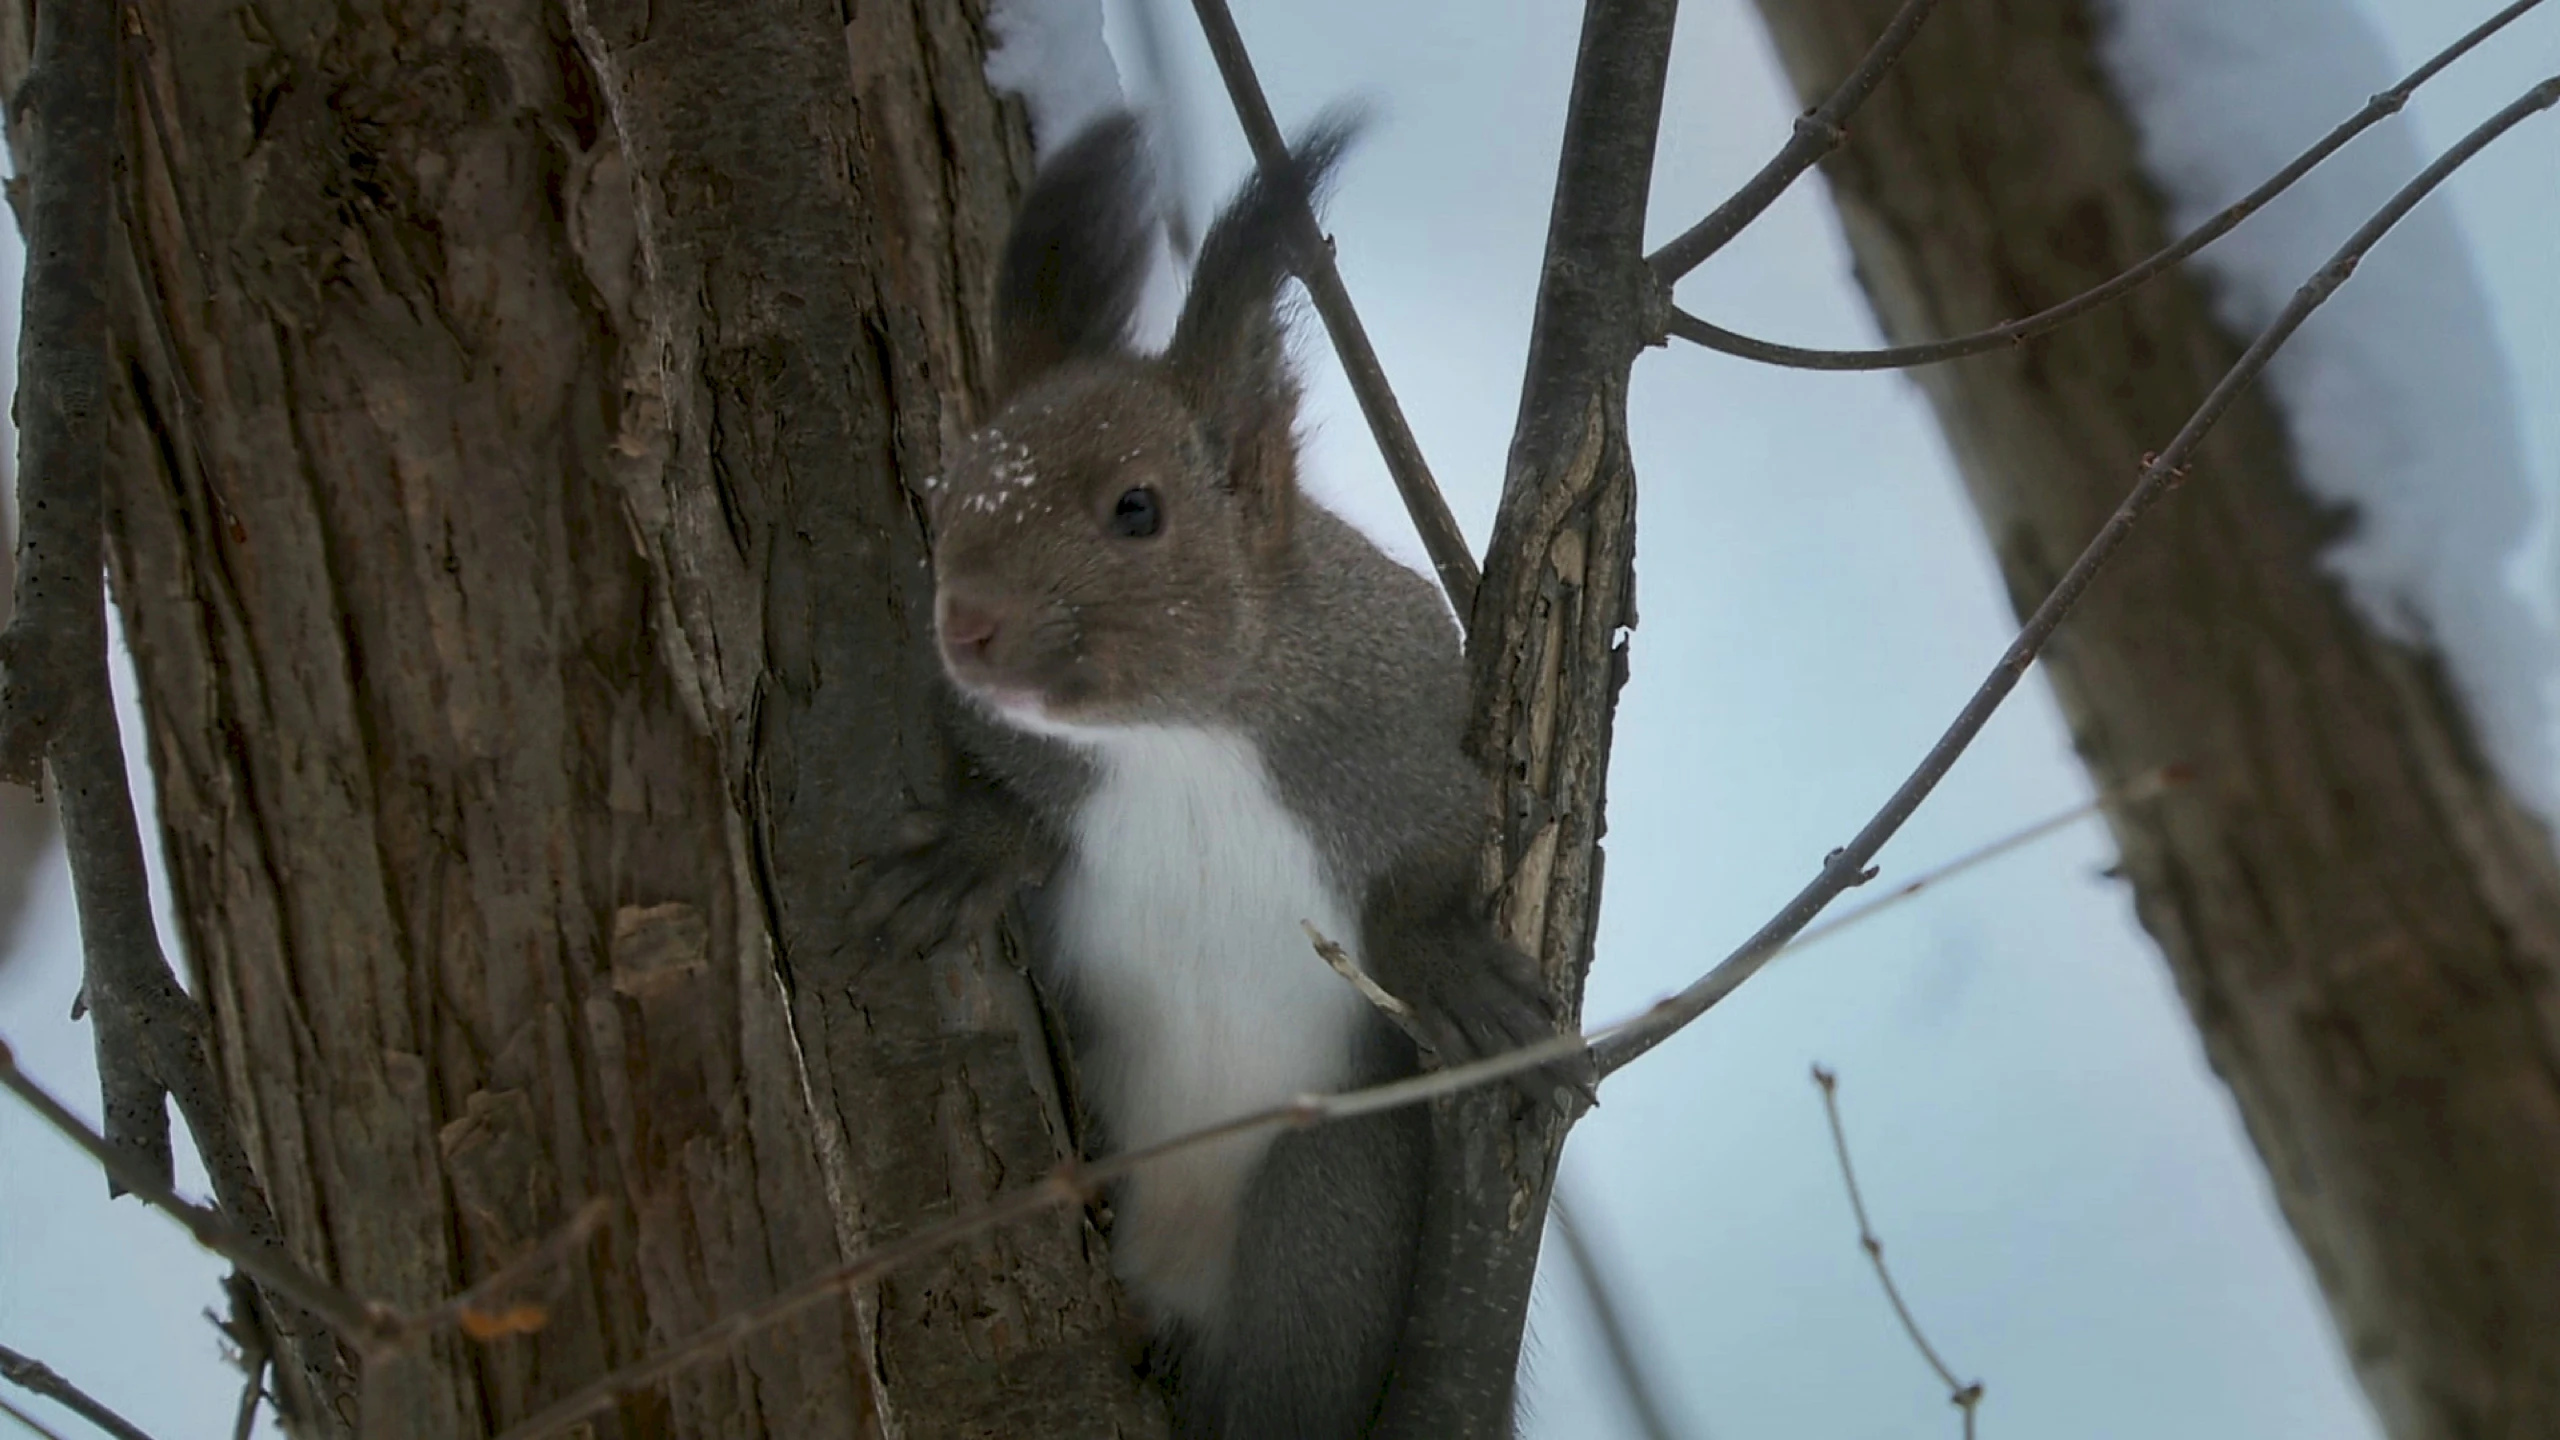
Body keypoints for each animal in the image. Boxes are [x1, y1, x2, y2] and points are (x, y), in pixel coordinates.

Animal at [849, 114, 1546, 1434]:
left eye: (1137, 510)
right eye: (946, 490)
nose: (964, 624)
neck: (1176, 743)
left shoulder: (1405, 727)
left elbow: (1444, 849)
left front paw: (1451, 965)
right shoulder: (1006, 734)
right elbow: (1002, 789)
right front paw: (973, 849)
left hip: (1326, 1208)